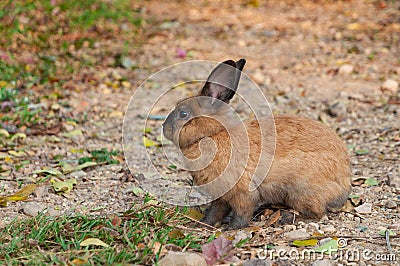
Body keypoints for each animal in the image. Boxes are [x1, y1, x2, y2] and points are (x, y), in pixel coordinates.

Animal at [162, 59, 350, 230]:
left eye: (183, 114)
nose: (164, 128)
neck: (211, 135)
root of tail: (344, 186)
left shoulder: (242, 192)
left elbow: (242, 212)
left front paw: (232, 228)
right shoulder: (221, 197)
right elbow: (215, 211)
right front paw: (204, 224)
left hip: (301, 191)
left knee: (317, 213)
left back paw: (286, 218)